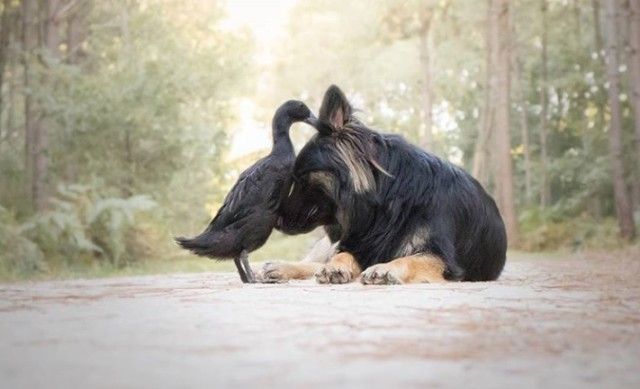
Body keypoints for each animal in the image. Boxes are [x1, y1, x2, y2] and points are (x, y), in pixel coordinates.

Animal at [272, 85, 508, 284]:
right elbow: (342, 255)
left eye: (300, 178)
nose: (277, 221)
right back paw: (280, 267)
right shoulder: (360, 244)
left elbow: (410, 259)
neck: (388, 205)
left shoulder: (441, 258)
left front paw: (384, 268)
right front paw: (335, 267)